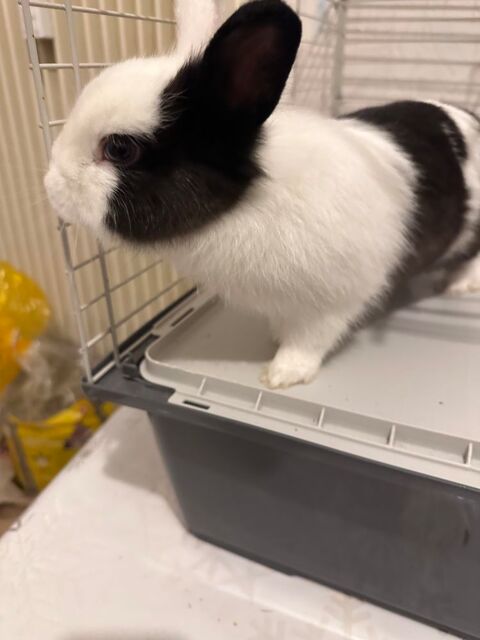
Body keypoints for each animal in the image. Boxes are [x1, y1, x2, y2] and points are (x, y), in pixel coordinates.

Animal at [45, 0, 480, 389]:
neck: (247, 202)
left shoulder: (334, 302)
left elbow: (309, 341)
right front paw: (275, 337)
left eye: (119, 149)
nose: (49, 184)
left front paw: (282, 374)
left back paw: (459, 285)